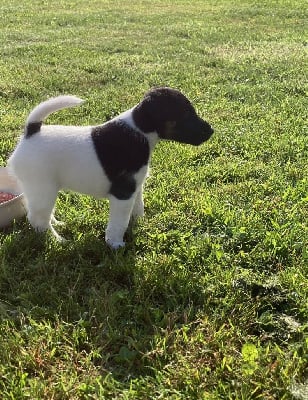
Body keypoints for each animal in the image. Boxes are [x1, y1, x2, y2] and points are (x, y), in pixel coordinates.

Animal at [7, 88, 214, 247]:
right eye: (185, 113)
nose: (211, 131)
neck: (139, 130)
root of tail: (31, 132)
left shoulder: (136, 187)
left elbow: (137, 208)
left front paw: (139, 224)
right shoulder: (123, 193)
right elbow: (119, 222)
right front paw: (115, 244)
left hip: (39, 190)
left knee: (40, 212)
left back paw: (58, 223)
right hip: (43, 189)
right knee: (37, 219)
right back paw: (57, 241)